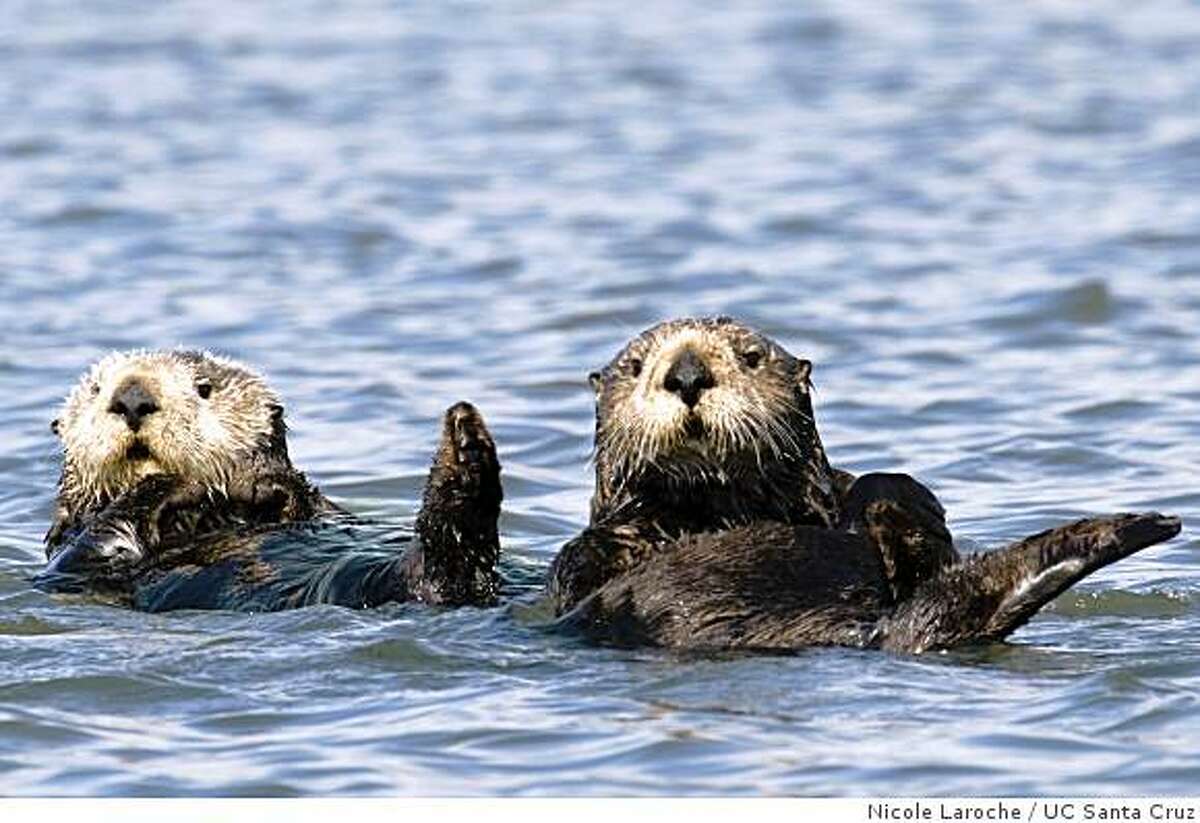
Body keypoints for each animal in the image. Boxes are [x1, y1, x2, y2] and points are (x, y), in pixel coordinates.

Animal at [36, 350, 502, 611]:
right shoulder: (71, 562)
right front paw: (191, 482)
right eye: (96, 389)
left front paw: (261, 484)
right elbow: (97, 543)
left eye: (204, 388)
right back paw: (466, 456)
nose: (132, 398)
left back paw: (466, 441)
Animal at [546, 317, 1182, 653]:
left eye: (750, 356)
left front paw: (892, 503)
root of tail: (859, 633)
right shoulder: (593, 560)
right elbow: (587, 564)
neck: (718, 509)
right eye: (634, 367)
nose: (686, 374)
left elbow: (882, 496)